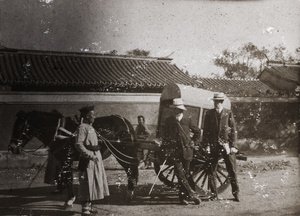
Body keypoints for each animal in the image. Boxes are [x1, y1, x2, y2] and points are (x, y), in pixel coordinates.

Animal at [9, 110, 139, 202]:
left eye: (21, 127)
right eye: (14, 126)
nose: (12, 147)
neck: (59, 131)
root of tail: (125, 121)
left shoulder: (67, 158)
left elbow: (69, 178)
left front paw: (71, 198)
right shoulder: (62, 159)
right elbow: (64, 175)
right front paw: (61, 189)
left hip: (122, 152)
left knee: (130, 170)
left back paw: (129, 193)